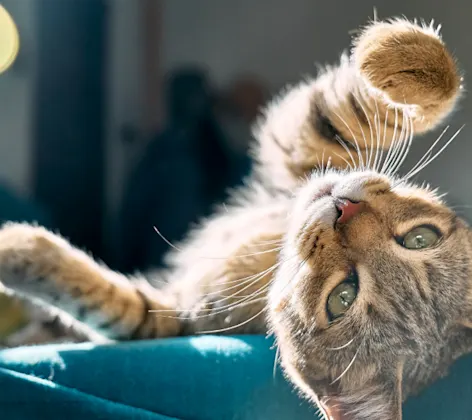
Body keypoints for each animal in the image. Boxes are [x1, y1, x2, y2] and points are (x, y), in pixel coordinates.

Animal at [0, 17, 466, 420]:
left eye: (342, 298)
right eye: (421, 238)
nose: (344, 210)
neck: (276, 253)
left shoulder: (169, 316)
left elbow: (99, 297)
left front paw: (16, 247)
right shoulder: (307, 160)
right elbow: (380, 106)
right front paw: (405, 58)